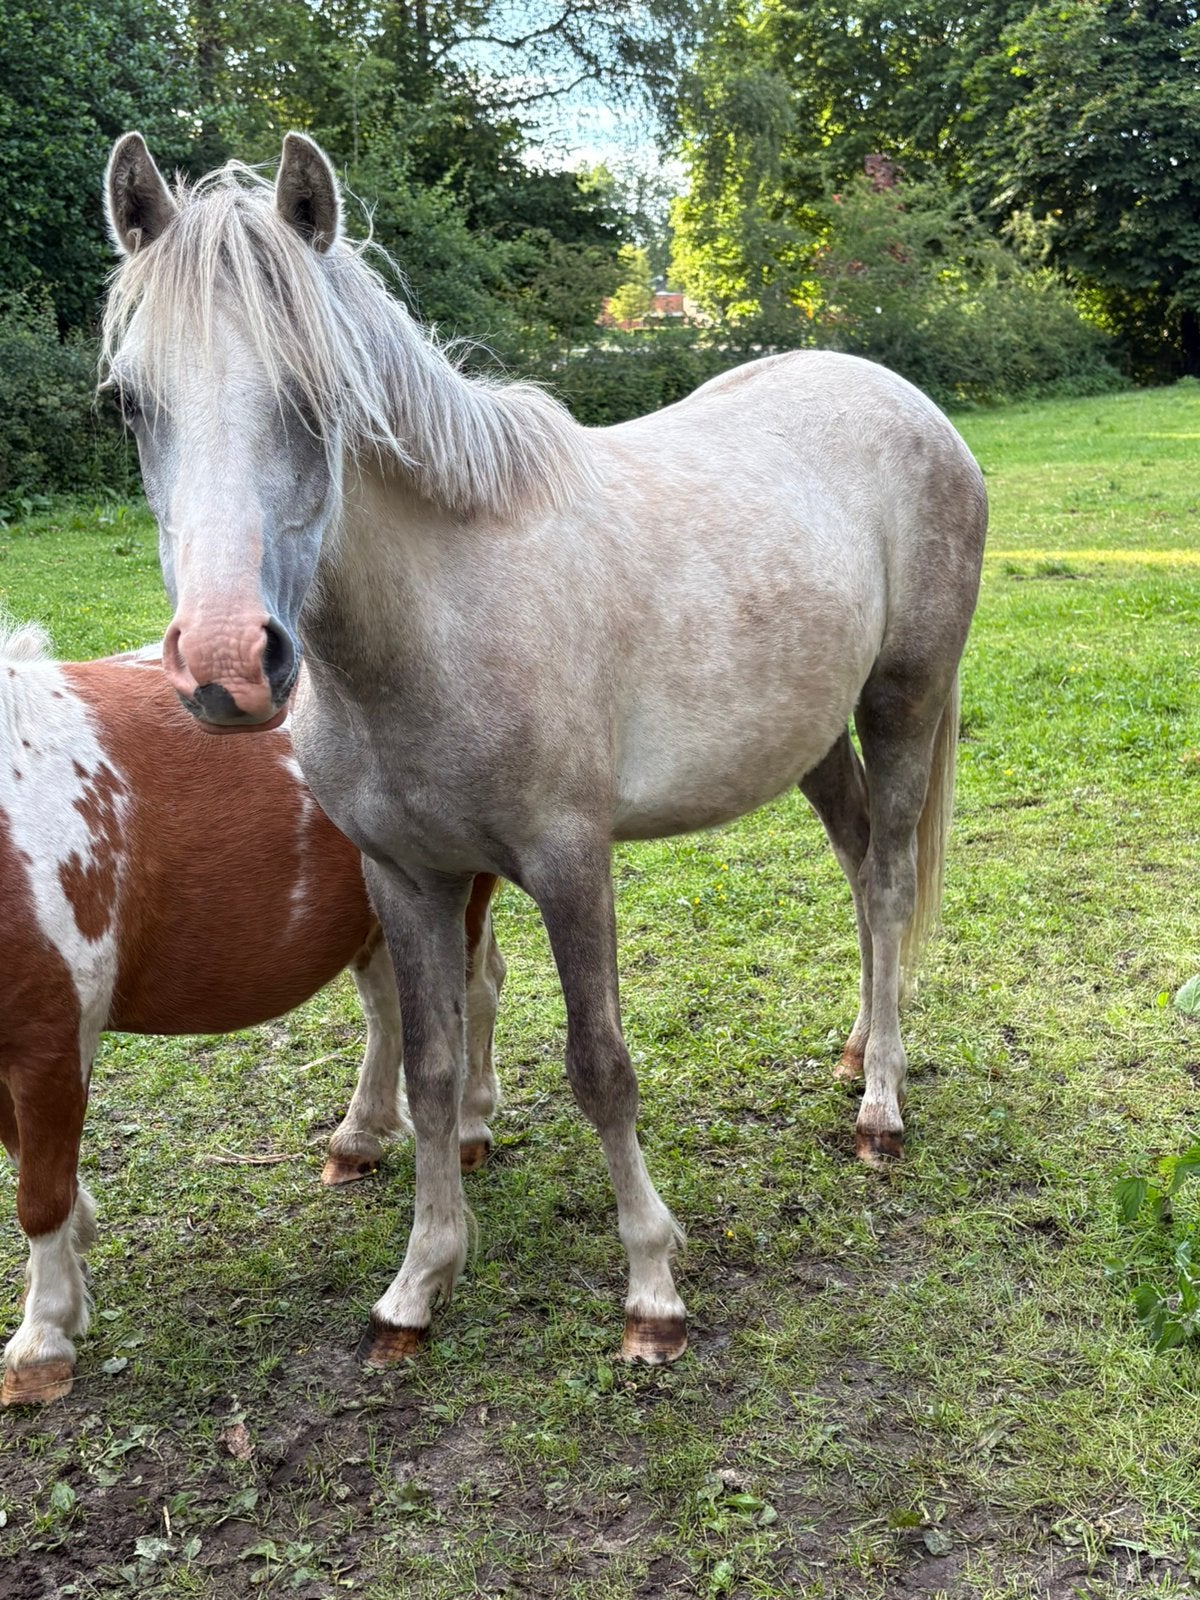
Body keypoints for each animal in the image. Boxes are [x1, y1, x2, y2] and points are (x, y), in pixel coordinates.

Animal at [0, 625, 505, 1405]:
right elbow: (27, 1160)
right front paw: (77, 1253)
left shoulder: (49, 1039)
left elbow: (39, 1194)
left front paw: (42, 1335)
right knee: (390, 1011)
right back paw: (359, 1137)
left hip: (457, 888)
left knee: (475, 995)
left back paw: (472, 1125)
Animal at [101, 131, 987, 1368]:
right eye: (126, 404)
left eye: (319, 394)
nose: (228, 665)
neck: (438, 624)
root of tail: (905, 399)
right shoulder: (408, 876)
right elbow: (429, 1070)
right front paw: (418, 1283)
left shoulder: (572, 864)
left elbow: (600, 1066)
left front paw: (653, 1288)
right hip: (813, 738)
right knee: (865, 874)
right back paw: (859, 1048)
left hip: (903, 698)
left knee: (895, 877)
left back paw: (882, 1107)